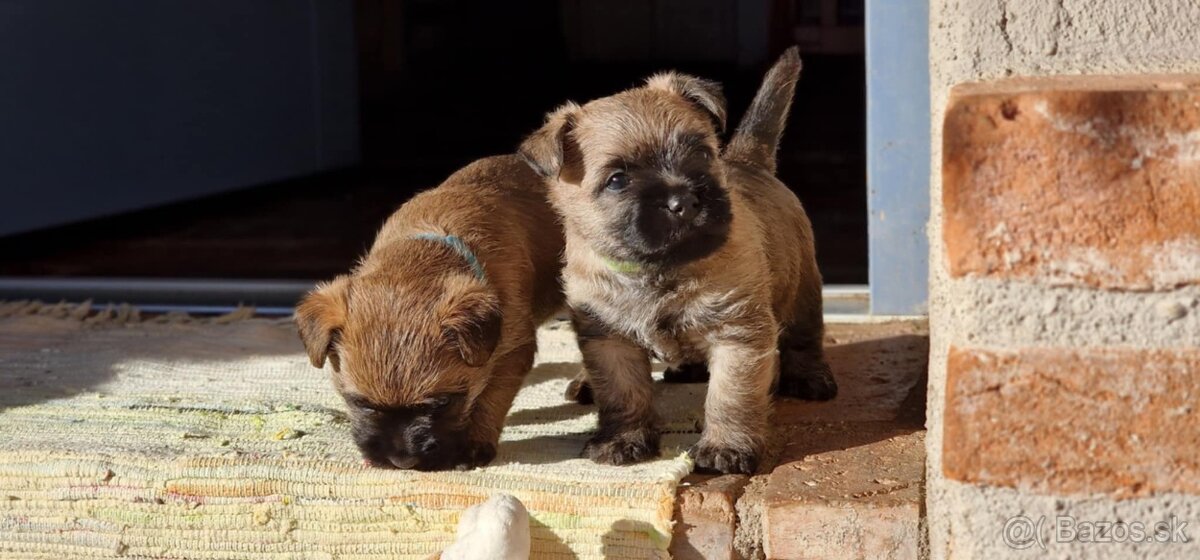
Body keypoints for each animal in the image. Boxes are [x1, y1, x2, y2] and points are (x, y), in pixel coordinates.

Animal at [297, 155, 564, 472]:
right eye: (363, 404)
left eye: (444, 403)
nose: (403, 460)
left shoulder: (513, 351)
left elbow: (490, 398)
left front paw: (475, 444)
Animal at [516, 49, 835, 477]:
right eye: (617, 180)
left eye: (700, 153)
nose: (683, 200)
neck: (657, 270)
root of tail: (749, 161)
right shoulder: (610, 341)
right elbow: (623, 392)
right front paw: (623, 439)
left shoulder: (737, 334)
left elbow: (730, 396)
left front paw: (726, 447)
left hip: (802, 288)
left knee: (804, 337)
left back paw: (810, 378)